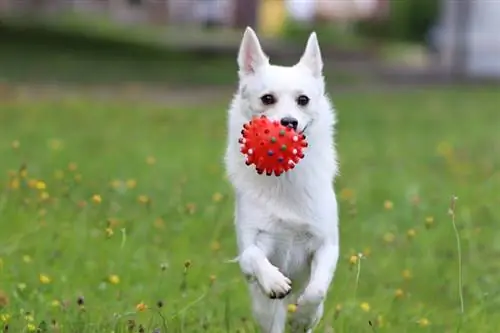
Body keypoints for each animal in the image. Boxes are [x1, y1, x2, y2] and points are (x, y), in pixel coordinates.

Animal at [226, 27, 340, 330]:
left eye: (303, 100)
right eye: (267, 99)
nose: (288, 122)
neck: (285, 177)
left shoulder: (327, 245)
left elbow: (317, 290)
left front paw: (302, 316)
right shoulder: (255, 242)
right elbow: (252, 255)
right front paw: (274, 280)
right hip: (266, 312)